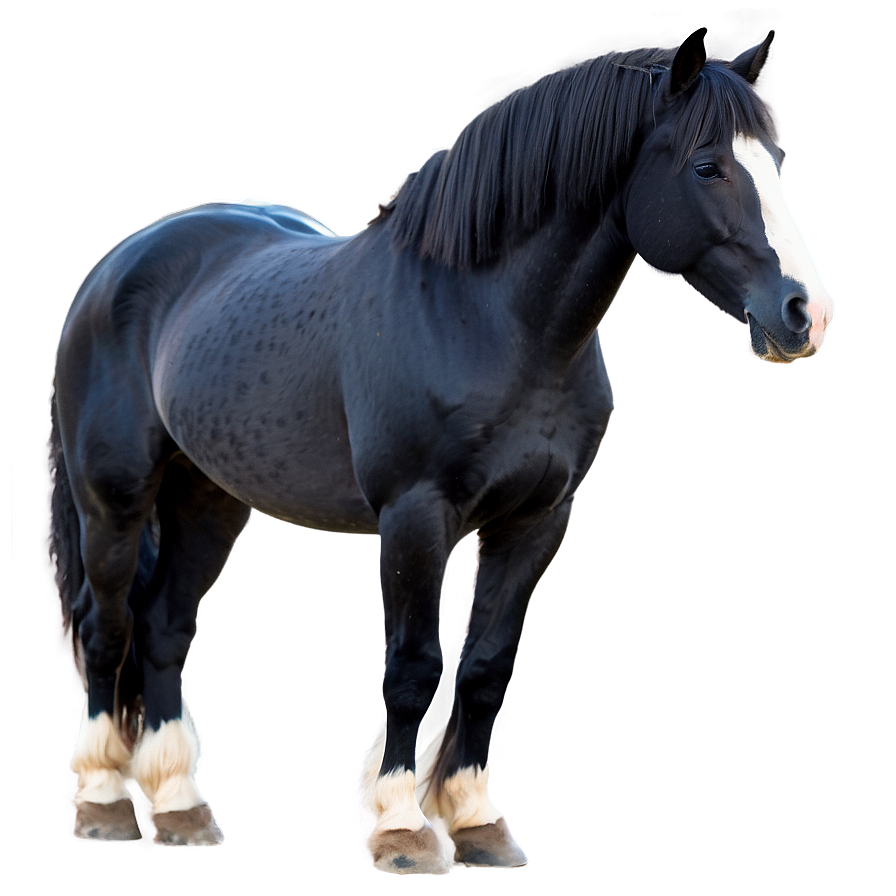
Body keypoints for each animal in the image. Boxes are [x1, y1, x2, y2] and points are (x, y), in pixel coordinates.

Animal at [47, 28, 834, 872]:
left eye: (776, 160)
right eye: (708, 165)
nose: (805, 313)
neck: (486, 319)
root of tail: (113, 266)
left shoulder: (536, 521)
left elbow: (488, 669)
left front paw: (477, 820)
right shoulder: (414, 516)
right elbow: (414, 669)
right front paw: (401, 826)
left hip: (208, 498)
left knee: (165, 626)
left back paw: (179, 806)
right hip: (114, 497)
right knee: (107, 628)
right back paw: (104, 802)